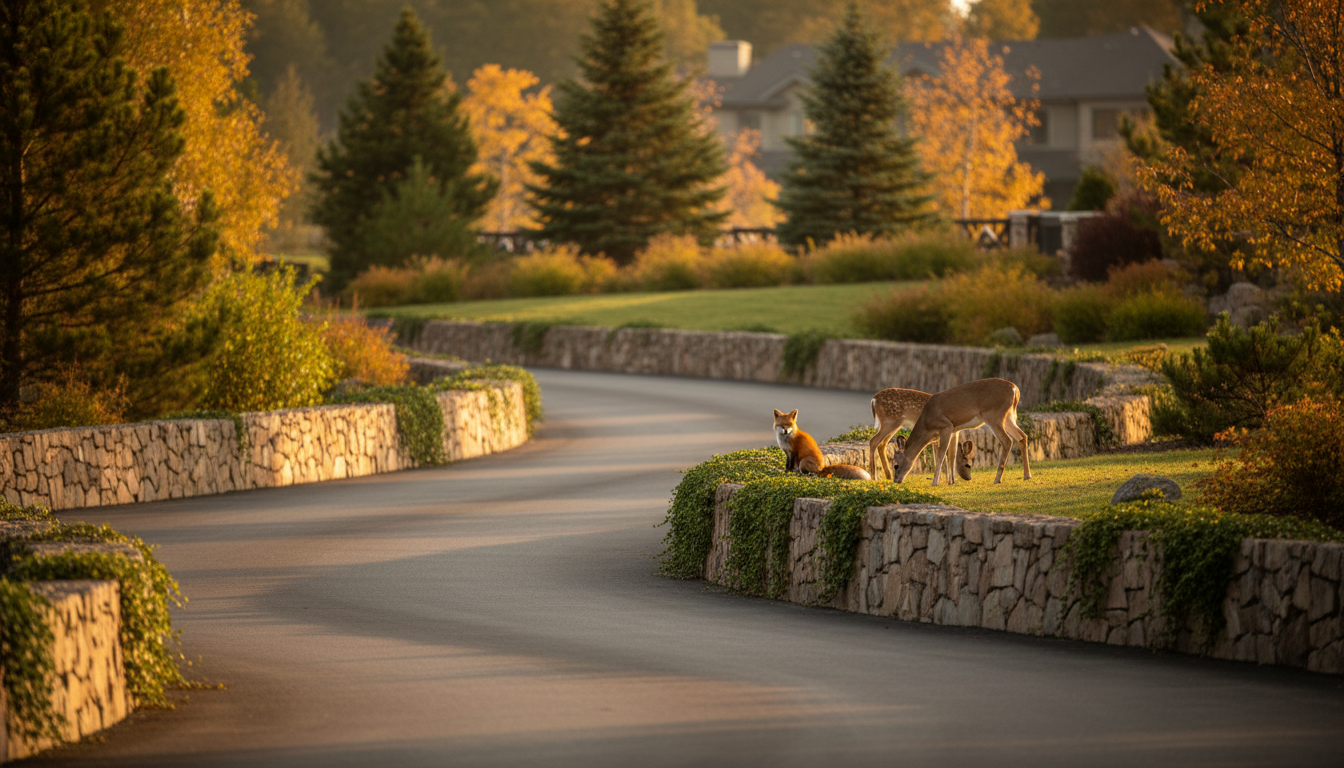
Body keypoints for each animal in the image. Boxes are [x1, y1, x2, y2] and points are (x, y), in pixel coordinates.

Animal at [890, 378, 1031, 486]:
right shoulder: (954, 430)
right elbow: (951, 456)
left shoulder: (946, 426)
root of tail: (1015, 390)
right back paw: (1027, 475)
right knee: (1022, 436)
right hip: (1008, 416)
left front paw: (935, 483)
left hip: (994, 415)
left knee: (1007, 441)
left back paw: (997, 479)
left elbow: (941, 456)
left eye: (896, 465)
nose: (896, 480)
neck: (927, 423)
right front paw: (951, 482)